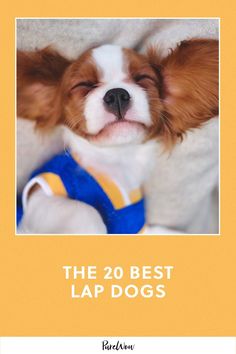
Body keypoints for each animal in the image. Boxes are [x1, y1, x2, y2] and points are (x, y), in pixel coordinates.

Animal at [17, 40, 218, 234]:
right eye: (84, 85)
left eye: (142, 78)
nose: (117, 94)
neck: (117, 160)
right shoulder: (39, 193)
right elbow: (87, 213)